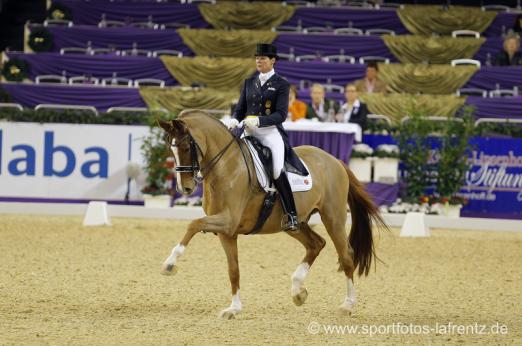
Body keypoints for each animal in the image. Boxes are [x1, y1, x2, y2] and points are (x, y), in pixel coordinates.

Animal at [156, 111, 384, 318]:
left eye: (186, 147)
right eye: (170, 149)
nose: (185, 188)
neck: (227, 166)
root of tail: (335, 161)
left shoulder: (228, 221)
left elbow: (193, 224)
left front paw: (169, 264)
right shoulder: (227, 232)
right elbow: (233, 270)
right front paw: (234, 308)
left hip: (333, 217)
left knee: (346, 256)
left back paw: (347, 304)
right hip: (294, 224)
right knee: (316, 244)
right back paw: (298, 292)